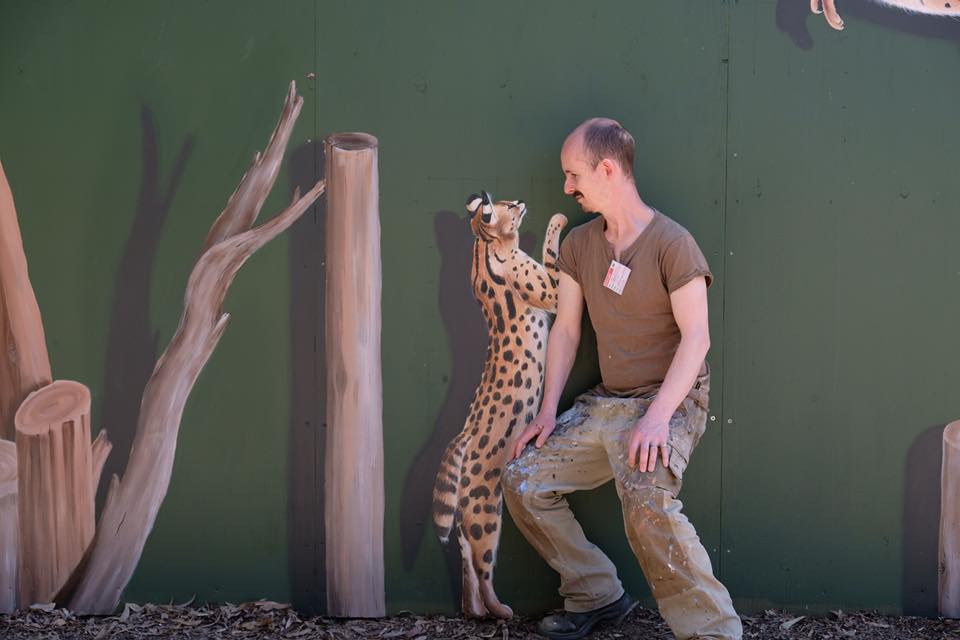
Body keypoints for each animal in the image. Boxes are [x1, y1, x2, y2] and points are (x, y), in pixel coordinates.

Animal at [432, 191, 566, 619]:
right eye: (507, 207)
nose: (520, 200)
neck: (484, 247)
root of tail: (462, 436)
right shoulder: (552, 289)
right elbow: (553, 253)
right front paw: (559, 218)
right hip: (486, 510)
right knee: (481, 562)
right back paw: (502, 610)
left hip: (467, 515)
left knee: (465, 562)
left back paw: (475, 612)